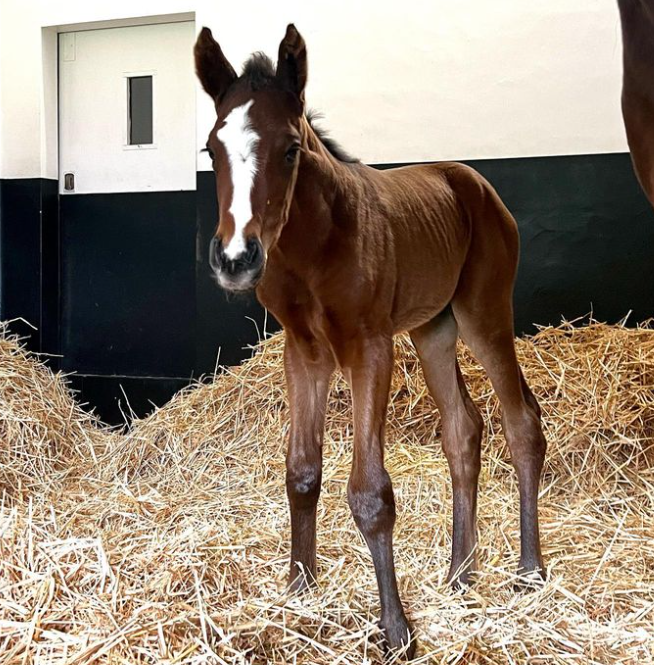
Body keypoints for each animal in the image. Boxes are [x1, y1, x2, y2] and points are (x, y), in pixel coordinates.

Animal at [195, 24, 547, 658]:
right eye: (212, 150)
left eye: (291, 148)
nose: (236, 258)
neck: (314, 247)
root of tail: (475, 183)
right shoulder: (304, 352)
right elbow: (302, 472)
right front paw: (299, 592)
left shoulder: (369, 348)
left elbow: (370, 493)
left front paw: (396, 630)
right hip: (434, 329)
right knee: (463, 429)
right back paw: (460, 574)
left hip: (483, 314)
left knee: (521, 420)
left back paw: (528, 572)